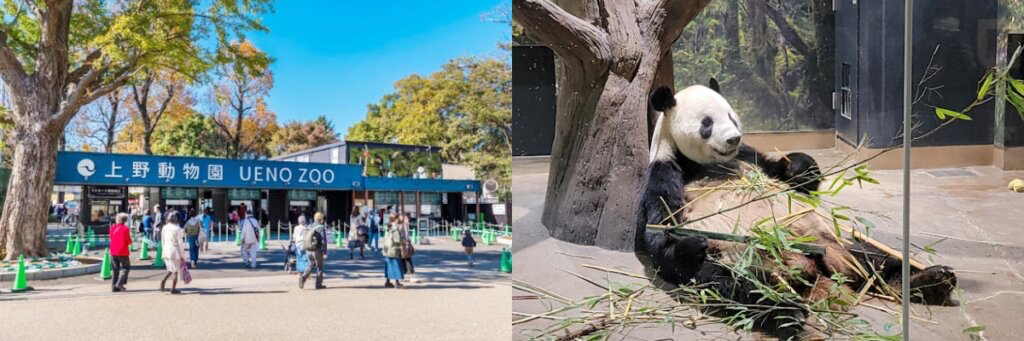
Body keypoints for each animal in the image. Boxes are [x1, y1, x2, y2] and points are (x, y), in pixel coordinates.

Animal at [634, 78, 954, 337]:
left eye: (731, 117)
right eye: (707, 123)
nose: (733, 138)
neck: (703, 163)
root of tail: (813, 275)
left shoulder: (749, 158)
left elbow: (792, 178)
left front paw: (799, 166)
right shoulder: (667, 173)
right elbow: (659, 234)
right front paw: (690, 244)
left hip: (831, 242)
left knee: (873, 259)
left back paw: (931, 279)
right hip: (741, 262)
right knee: (736, 287)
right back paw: (788, 314)